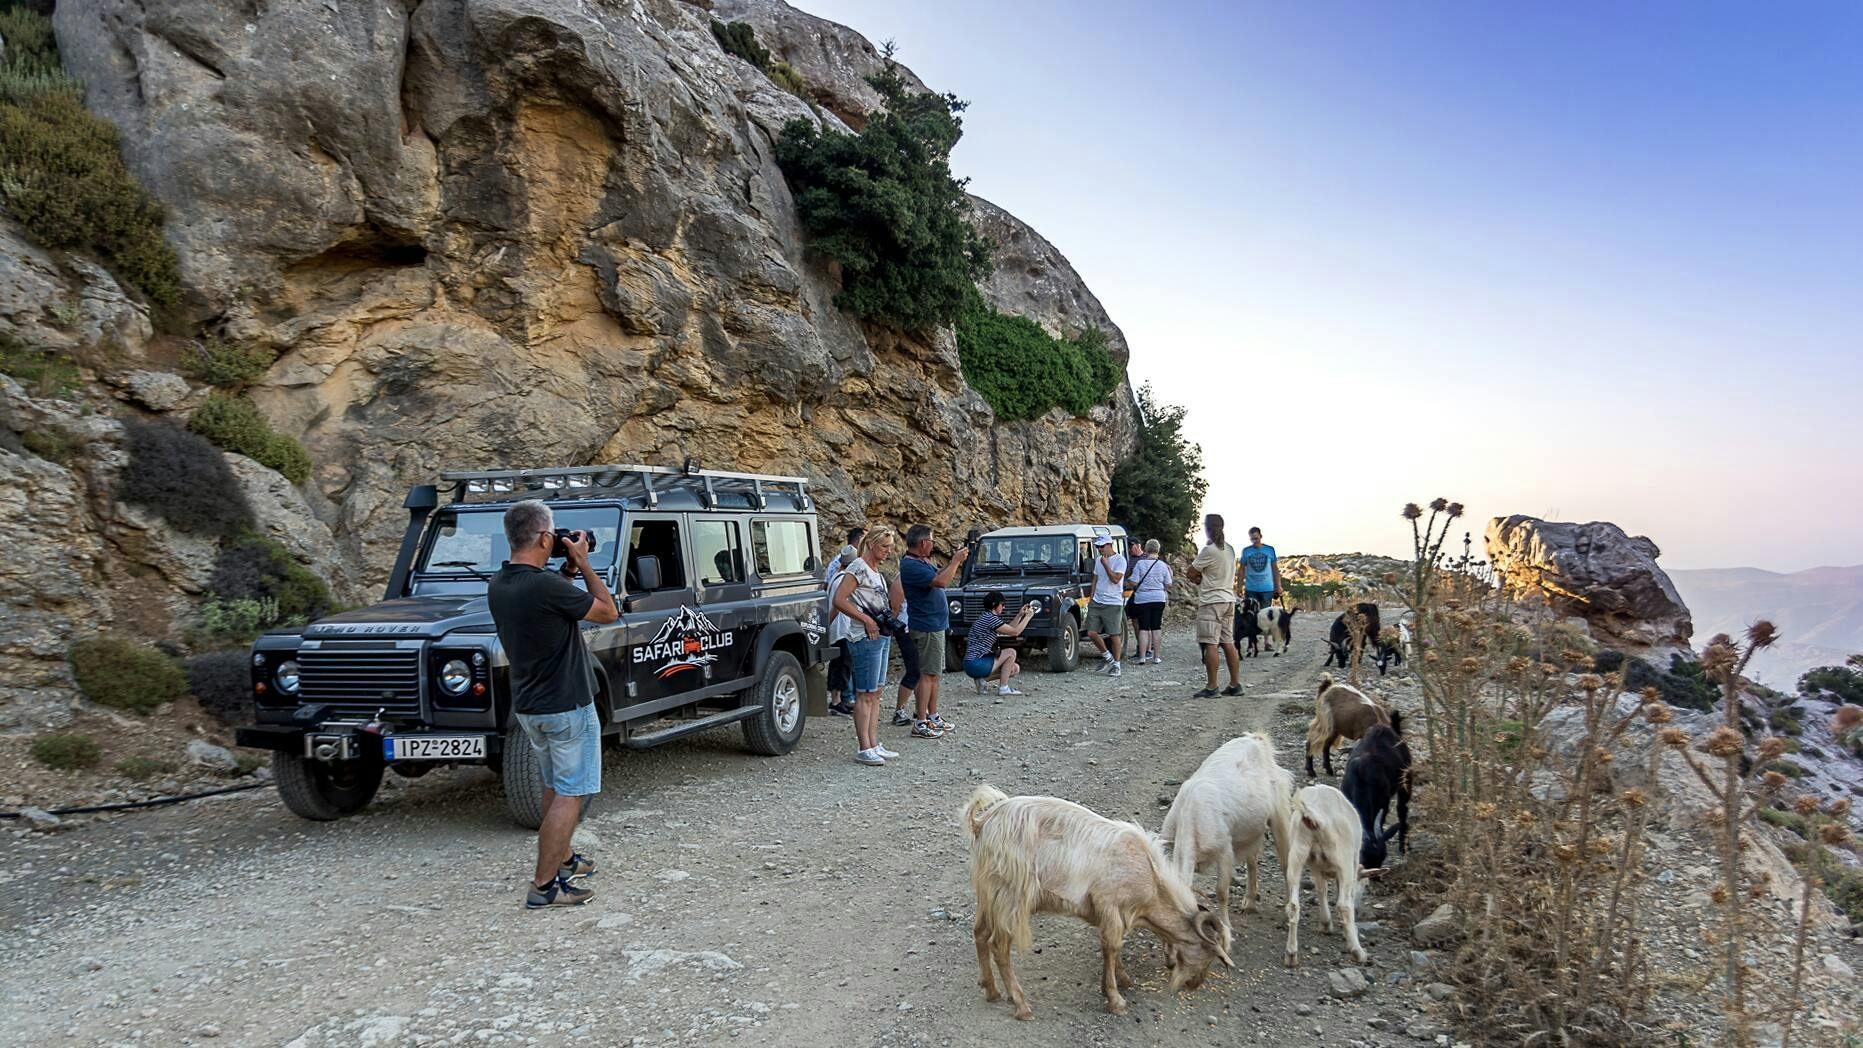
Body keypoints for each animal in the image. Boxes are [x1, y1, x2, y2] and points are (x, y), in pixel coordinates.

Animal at [961, 789, 1237, 1020]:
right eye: (1209, 955)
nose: (1195, 984)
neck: (1150, 876)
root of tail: (982, 824)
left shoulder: (1110, 914)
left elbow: (1110, 947)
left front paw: (1120, 980)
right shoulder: (1110, 905)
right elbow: (1112, 946)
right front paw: (1116, 1000)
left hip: (989, 895)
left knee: (980, 933)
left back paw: (991, 990)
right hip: (1010, 898)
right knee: (999, 948)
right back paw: (1020, 1004)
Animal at [1162, 729, 1296, 934]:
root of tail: (1257, 739)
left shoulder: (1225, 850)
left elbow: (1221, 892)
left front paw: (1226, 926)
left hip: (1279, 814)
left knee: (1285, 863)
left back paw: (1287, 911)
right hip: (1251, 830)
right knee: (1252, 861)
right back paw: (1249, 902)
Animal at [1289, 781, 1378, 975]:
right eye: (1365, 885)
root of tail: (1313, 816)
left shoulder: (1315, 864)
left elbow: (1321, 889)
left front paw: (1325, 924)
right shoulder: (1352, 863)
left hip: (1298, 852)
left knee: (1293, 905)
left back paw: (1291, 955)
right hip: (1342, 857)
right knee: (1343, 905)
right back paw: (1358, 952)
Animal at [1341, 711, 1408, 874]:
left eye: (1382, 859)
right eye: (1364, 859)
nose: (1375, 877)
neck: (1361, 778)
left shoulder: (1383, 804)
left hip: (1406, 780)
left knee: (1402, 810)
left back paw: (1403, 847)